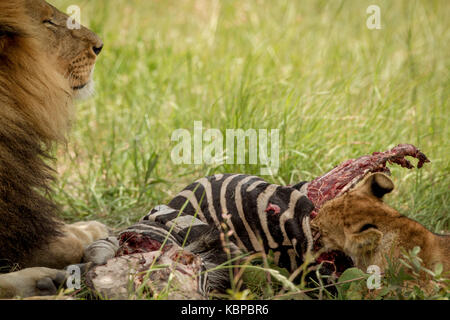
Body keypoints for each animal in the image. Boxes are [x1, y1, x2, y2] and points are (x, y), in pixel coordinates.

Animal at [0, 0, 109, 298]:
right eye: (48, 22)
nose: (99, 46)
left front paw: (86, 227)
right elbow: (66, 243)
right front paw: (89, 231)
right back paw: (43, 280)